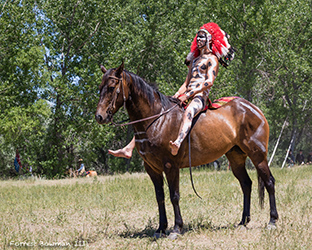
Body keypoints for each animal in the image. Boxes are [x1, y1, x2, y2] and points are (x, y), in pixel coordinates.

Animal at [94, 62, 278, 238]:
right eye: (100, 87)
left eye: (112, 87)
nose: (99, 116)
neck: (157, 119)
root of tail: (252, 108)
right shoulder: (152, 168)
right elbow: (160, 197)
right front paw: (161, 228)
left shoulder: (170, 166)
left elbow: (174, 196)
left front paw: (176, 228)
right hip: (236, 158)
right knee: (246, 184)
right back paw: (243, 221)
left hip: (258, 155)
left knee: (269, 182)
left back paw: (272, 221)